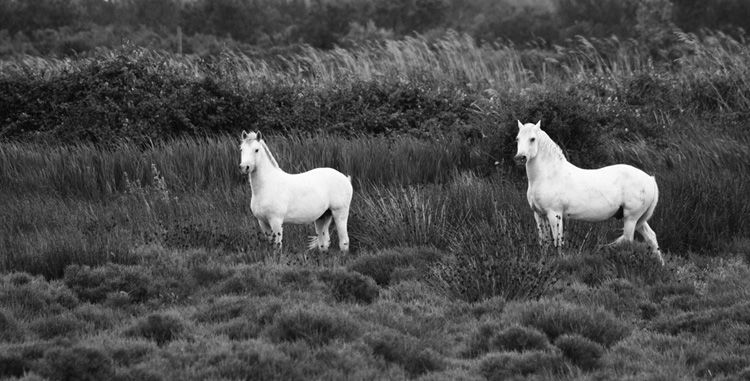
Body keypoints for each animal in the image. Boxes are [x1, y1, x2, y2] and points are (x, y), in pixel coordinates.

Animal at [516, 121, 664, 264]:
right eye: (517, 138)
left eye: (532, 139)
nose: (520, 157)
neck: (549, 175)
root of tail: (650, 179)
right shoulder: (539, 215)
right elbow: (544, 242)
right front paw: (543, 261)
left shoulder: (555, 214)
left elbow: (558, 242)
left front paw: (559, 260)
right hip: (638, 219)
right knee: (651, 237)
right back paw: (660, 265)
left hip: (631, 218)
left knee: (627, 240)